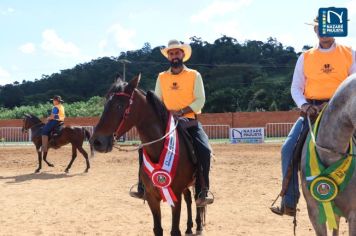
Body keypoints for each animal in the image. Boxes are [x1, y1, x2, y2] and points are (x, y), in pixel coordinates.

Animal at [90, 76, 207, 236]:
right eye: (105, 104)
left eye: (119, 106)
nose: (97, 142)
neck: (159, 150)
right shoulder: (152, 197)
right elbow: (158, 229)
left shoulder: (175, 197)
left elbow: (174, 230)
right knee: (188, 198)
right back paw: (189, 227)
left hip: (197, 182)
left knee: (197, 200)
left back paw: (199, 225)